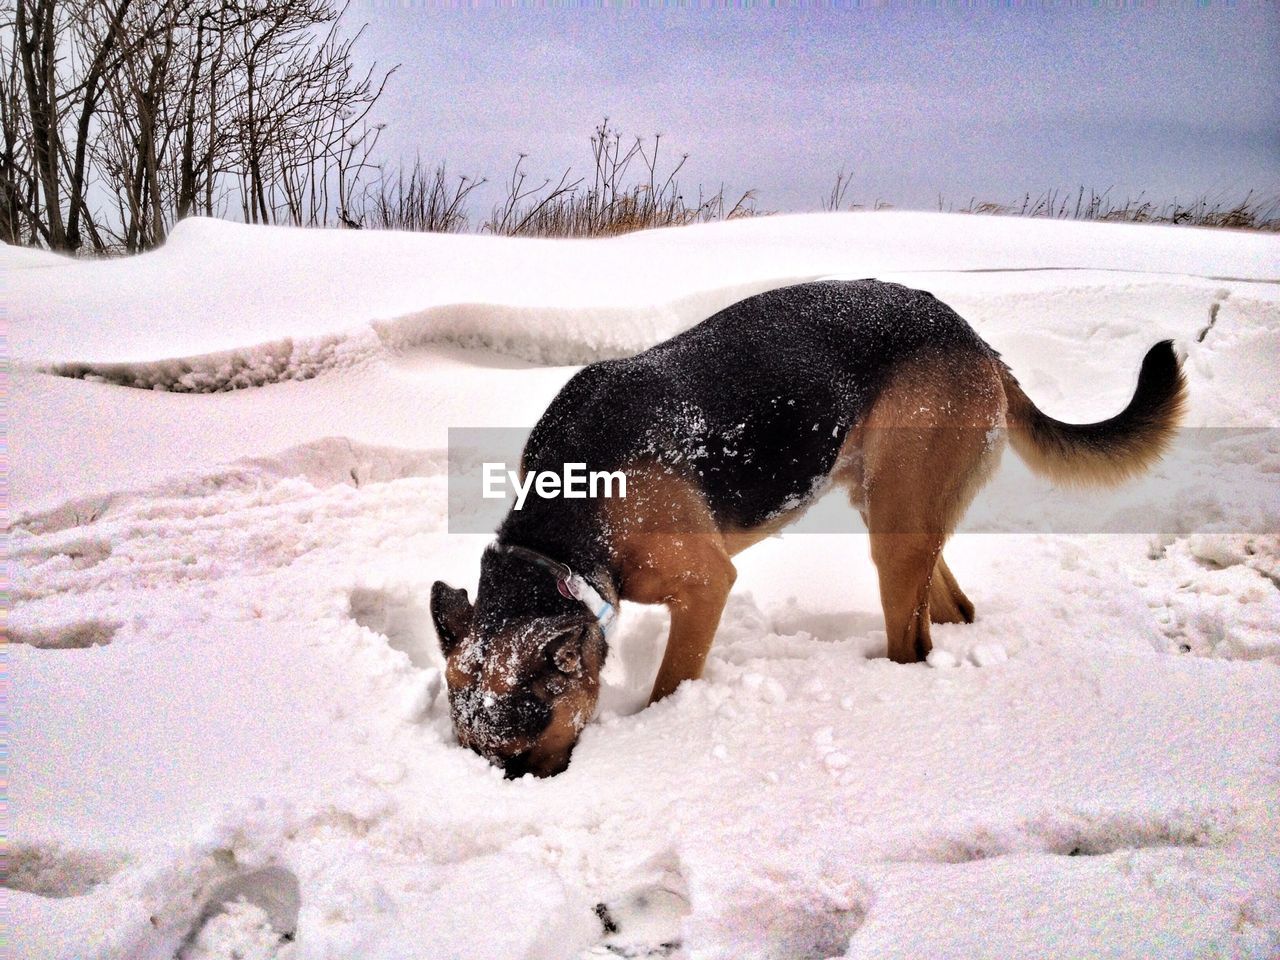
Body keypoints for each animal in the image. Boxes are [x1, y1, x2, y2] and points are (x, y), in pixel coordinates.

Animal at [432, 281, 1187, 778]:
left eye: (520, 752)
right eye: (475, 754)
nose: (520, 791)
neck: (562, 532)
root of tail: (975, 338)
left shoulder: (705, 587)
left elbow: (672, 685)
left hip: (897, 518)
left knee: (914, 640)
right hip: (896, 508)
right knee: (951, 606)